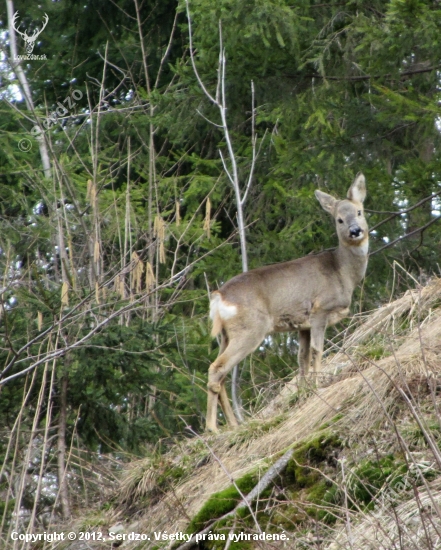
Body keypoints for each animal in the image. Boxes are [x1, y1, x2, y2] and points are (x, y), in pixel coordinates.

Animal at [206, 175, 368, 434]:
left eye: (360, 211)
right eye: (339, 219)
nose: (355, 231)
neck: (343, 272)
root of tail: (218, 297)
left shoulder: (302, 325)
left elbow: (302, 359)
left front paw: (303, 391)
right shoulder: (320, 309)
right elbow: (318, 351)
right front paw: (317, 384)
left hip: (225, 335)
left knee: (221, 373)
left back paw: (233, 424)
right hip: (251, 328)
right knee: (217, 369)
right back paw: (212, 427)